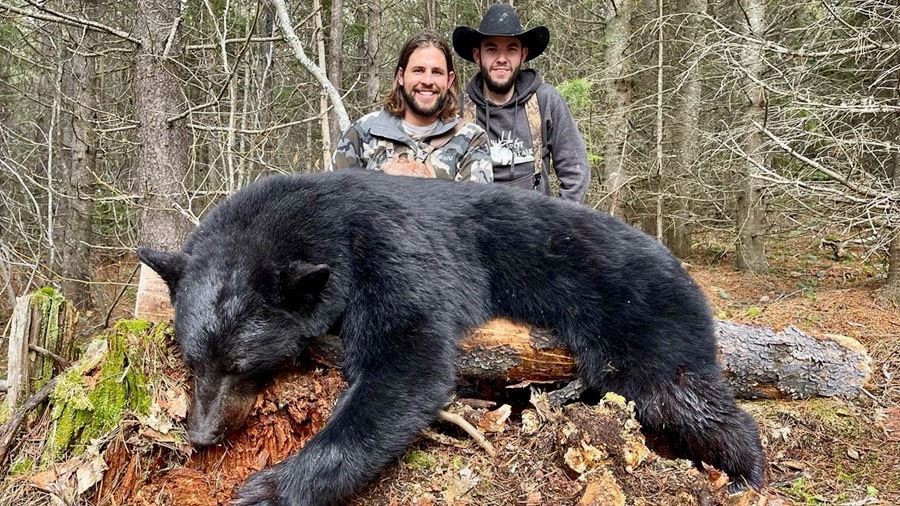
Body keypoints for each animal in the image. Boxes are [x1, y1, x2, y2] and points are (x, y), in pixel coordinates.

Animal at [137, 170, 766, 505]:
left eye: (243, 363)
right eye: (195, 360)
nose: (201, 433)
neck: (321, 222)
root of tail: (683, 268)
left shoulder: (389, 253)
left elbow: (407, 364)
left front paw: (270, 488)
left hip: (642, 316)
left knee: (681, 394)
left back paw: (747, 473)